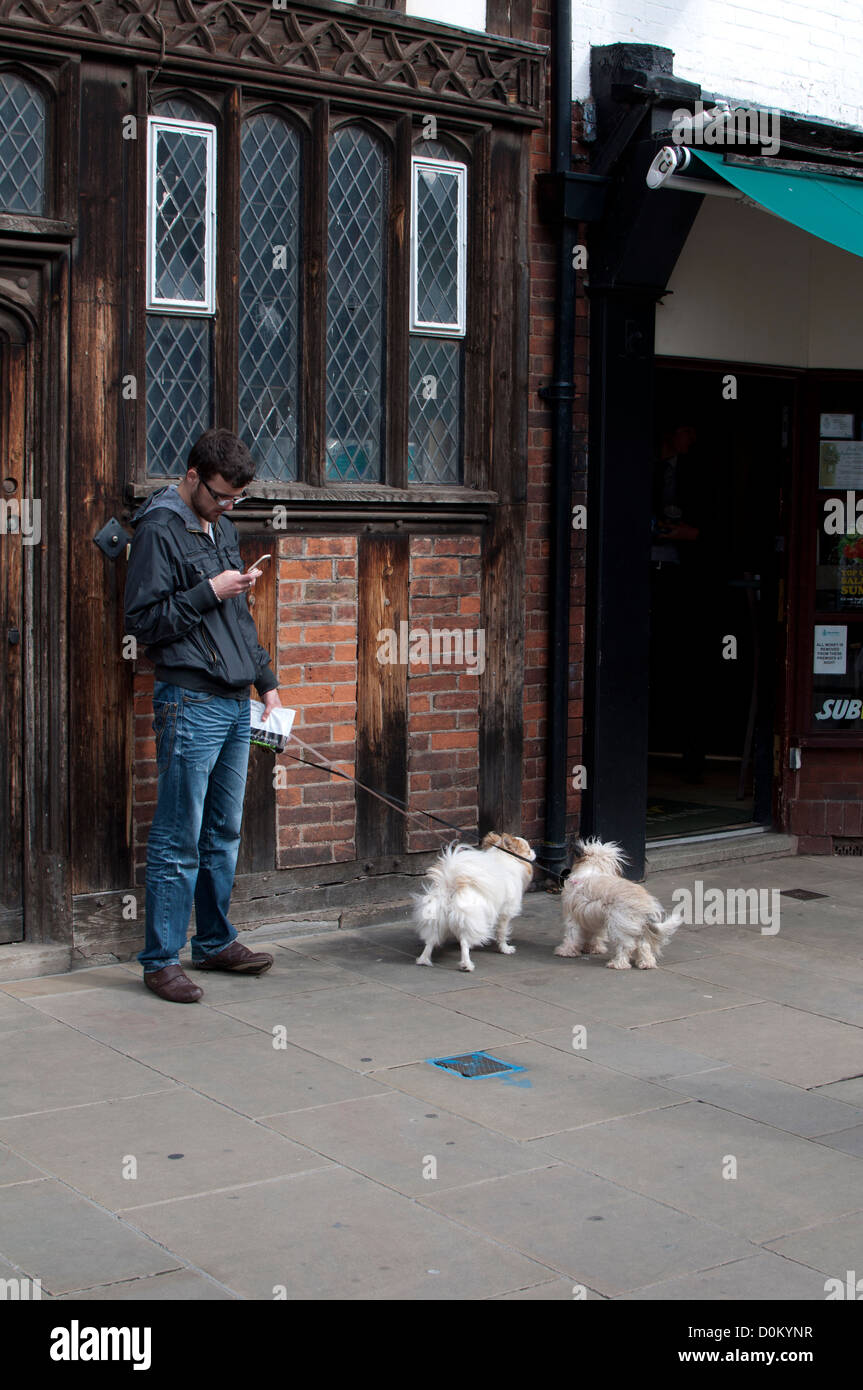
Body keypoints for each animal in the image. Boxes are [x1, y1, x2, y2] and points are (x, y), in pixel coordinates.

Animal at [416, 828, 536, 973]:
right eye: (528, 850)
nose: (534, 852)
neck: (505, 858)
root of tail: (452, 886)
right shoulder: (505, 913)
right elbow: (501, 932)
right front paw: (505, 949)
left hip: (436, 918)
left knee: (431, 940)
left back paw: (424, 959)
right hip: (469, 917)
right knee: (464, 943)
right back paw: (467, 965)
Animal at [555, 839, 683, 973]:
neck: (592, 870)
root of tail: (645, 905)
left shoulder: (572, 916)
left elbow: (572, 935)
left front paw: (566, 950)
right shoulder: (594, 918)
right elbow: (595, 934)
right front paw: (594, 948)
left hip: (619, 925)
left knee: (627, 946)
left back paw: (618, 963)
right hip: (637, 928)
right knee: (644, 945)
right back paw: (646, 963)